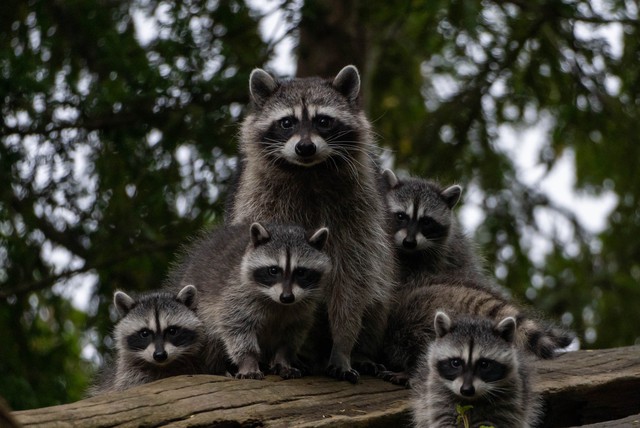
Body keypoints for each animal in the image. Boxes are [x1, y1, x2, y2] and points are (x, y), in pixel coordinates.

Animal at [170, 222, 330, 380]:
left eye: (301, 272)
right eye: (273, 270)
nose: (287, 297)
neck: (277, 302)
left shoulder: (302, 307)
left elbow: (290, 337)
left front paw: (283, 360)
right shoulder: (236, 293)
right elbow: (237, 327)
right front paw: (248, 362)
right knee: (211, 340)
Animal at [412, 310, 544, 428]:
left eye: (484, 364)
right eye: (456, 363)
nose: (467, 390)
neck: (470, 400)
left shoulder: (508, 401)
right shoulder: (437, 395)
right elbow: (444, 420)